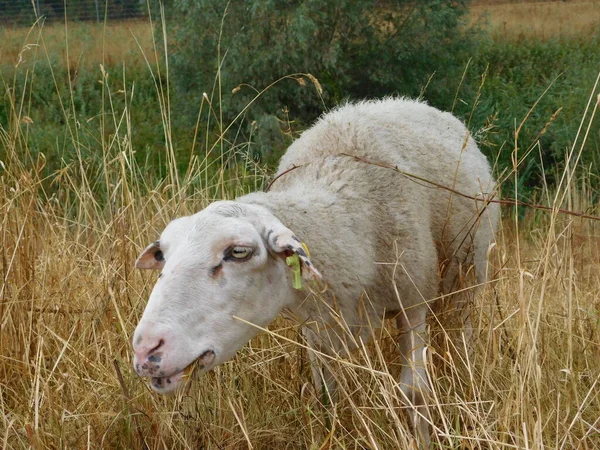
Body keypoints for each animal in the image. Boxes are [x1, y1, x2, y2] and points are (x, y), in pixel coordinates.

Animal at [134, 96, 500, 444]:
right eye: (163, 255)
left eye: (238, 252)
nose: (146, 350)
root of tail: (411, 102)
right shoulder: (317, 322)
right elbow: (327, 393)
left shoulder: (413, 302)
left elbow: (415, 393)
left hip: (467, 275)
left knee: (461, 333)